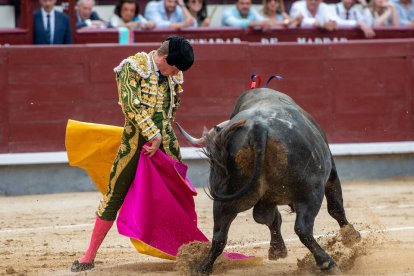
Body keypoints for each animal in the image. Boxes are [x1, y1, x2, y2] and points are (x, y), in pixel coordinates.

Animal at [176, 88, 360, 274]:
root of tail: (258, 128)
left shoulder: (265, 199)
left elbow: (267, 218)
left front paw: (277, 250)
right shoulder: (331, 174)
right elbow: (336, 207)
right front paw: (352, 237)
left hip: (226, 198)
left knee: (220, 235)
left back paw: (202, 267)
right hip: (311, 192)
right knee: (303, 228)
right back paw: (327, 263)